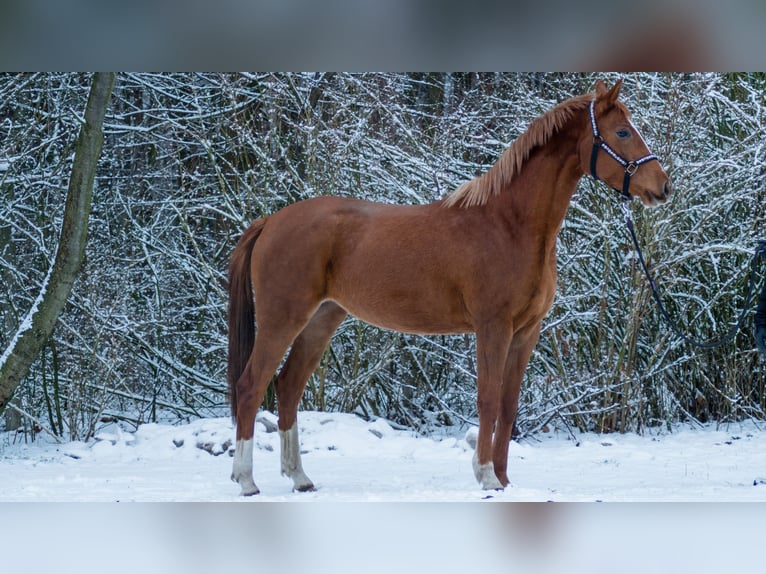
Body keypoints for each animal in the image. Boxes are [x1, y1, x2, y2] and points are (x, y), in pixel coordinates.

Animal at [226, 79, 672, 498]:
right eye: (622, 132)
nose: (663, 186)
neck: (509, 225)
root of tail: (271, 221)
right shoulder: (493, 328)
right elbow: (488, 400)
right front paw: (487, 476)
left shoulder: (526, 333)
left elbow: (508, 406)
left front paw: (504, 480)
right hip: (283, 319)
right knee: (251, 386)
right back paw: (247, 481)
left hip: (320, 320)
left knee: (287, 387)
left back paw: (300, 478)